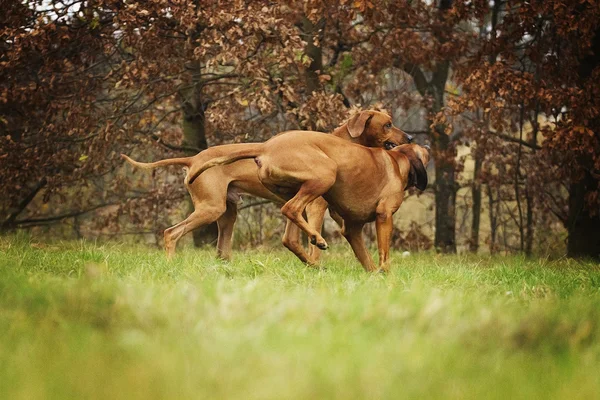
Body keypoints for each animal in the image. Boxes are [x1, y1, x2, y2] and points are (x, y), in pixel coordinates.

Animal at [122, 111, 412, 264]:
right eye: (388, 124)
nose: (410, 136)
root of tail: (193, 159)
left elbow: (294, 239)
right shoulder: (316, 207)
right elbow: (311, 241)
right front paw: (317, 257)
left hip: (228, 213)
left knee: (222, 250)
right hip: (211, 208)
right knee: (171, 232)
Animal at [190, 133, 428, 274]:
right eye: (425, 153)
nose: (425, 142)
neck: (398, 160)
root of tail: (265, 147)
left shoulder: (352, 228)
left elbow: (366, 259)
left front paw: (375, 277)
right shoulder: (384, 216)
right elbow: (384, 256)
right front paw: (387, 277)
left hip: (293, 190)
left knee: (289, 231)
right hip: (325, 174)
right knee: (290, 209)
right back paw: (317, 238)